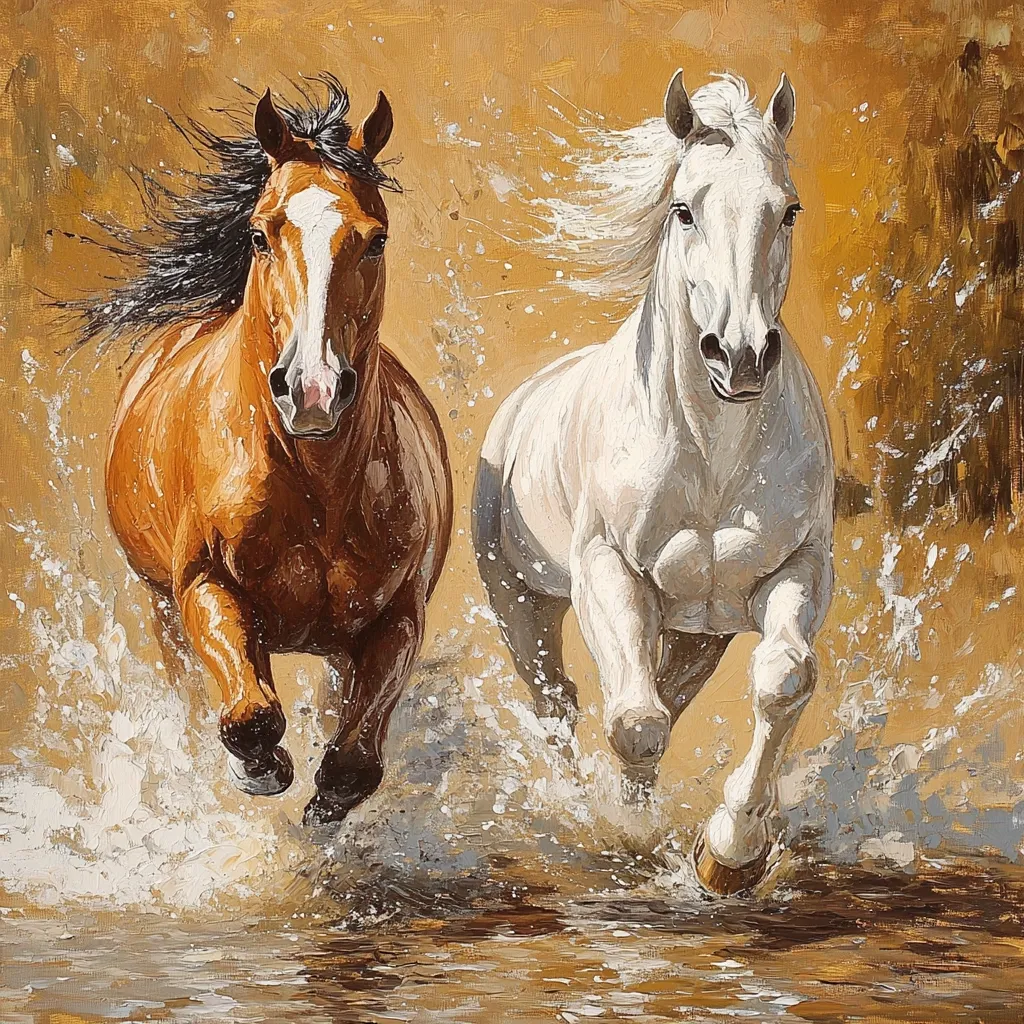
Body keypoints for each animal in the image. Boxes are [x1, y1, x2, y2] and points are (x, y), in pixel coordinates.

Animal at [86, 76, 452, 826]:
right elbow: (249, 715)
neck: (314, 492)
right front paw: (262, 769)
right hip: (161, 609)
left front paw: (326, 800)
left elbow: (355, 757)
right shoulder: (203, 588)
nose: (312, 389)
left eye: (376, 240)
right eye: (260, 234)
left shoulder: (395, 619)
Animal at [473, 71, 834, 895]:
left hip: (697, 633)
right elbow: (635, 725)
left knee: (663, 693)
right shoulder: (607, 573)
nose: (740, 354)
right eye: (684, 208)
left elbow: (782, 679)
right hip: (520, 601)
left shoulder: (793, 570)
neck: (712, 458)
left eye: (789, 208)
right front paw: (627, 839)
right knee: (562, 705)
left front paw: (730, 852)